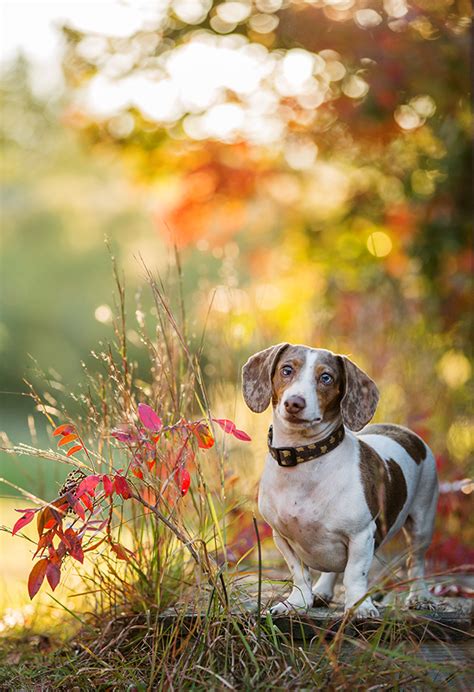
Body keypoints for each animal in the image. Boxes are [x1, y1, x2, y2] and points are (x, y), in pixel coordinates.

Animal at [243, 344, 438, 620]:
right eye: (286, 370)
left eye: (326, 378)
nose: (294, 403)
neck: (305, 459)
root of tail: (404, 431)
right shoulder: (282, 536)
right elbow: (299, 574)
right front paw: (296, 603)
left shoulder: (361, 535)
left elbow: (354, 573)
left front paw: (359, 607)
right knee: (332, 569)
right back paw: (322, 591)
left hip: (422, 521)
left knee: (416, 561)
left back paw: (420, 596)